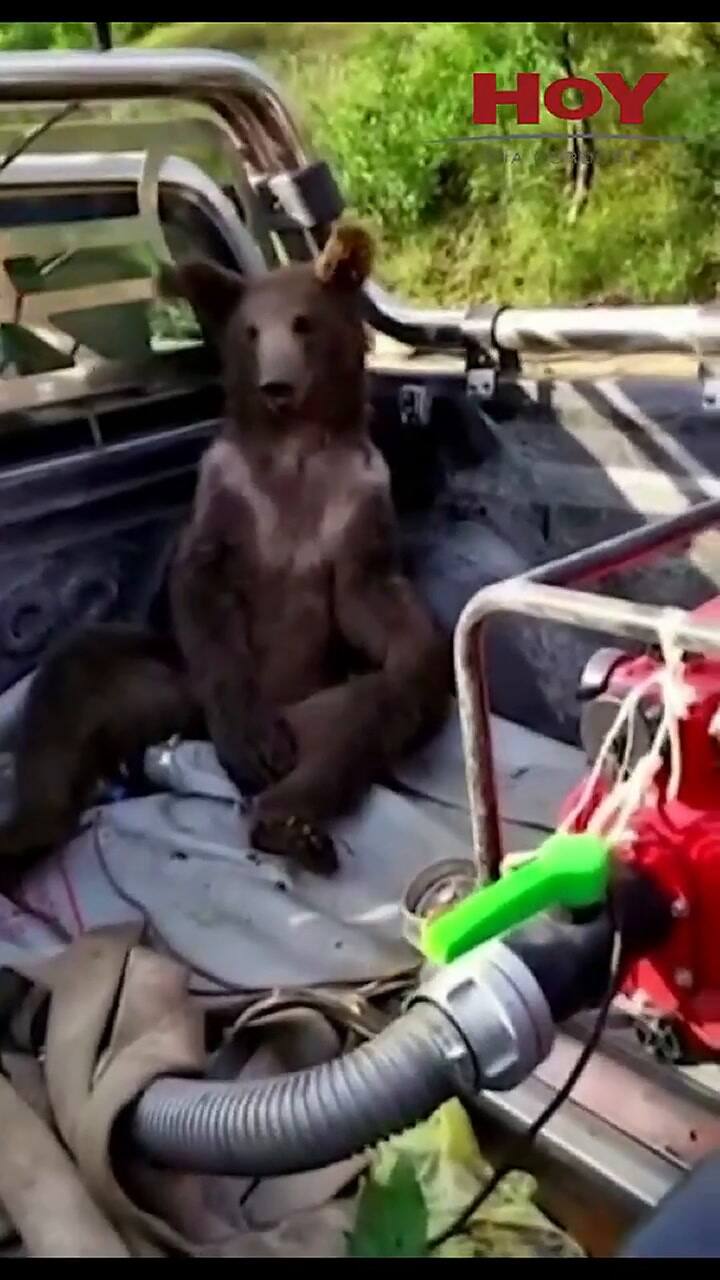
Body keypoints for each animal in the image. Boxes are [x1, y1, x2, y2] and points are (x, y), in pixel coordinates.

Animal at [0, 223, 452, 887]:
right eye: (250, 331)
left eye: (304, 323)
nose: (277, 386)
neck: (293, 449)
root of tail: (189, 734)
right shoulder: (227, 494)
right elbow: (202, 587)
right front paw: (249, 737)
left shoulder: (357, 496)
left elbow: (370, 595)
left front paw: (414, 641)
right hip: (168, 682)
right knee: (74, 683)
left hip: (322, 702)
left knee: (362, 718)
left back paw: (289, 820)